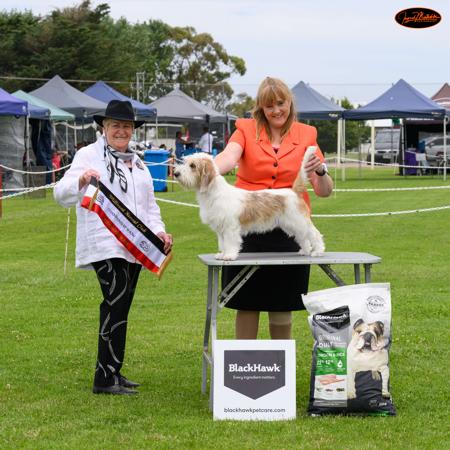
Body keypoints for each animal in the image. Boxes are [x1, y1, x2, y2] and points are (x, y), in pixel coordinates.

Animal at [173, 147, 325, 260]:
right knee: (303, 237)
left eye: (193, 166)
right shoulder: (221, 229)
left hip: (299, 221)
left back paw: (318, 251)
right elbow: (223, 243)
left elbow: (230, 242)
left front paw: (229, 256)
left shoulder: (230, 227)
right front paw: (222, 254)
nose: (175, 173)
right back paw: (305, 250)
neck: (213, 193)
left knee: (314, 234)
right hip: (290, 225)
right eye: (185, 162)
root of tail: (294, 191)